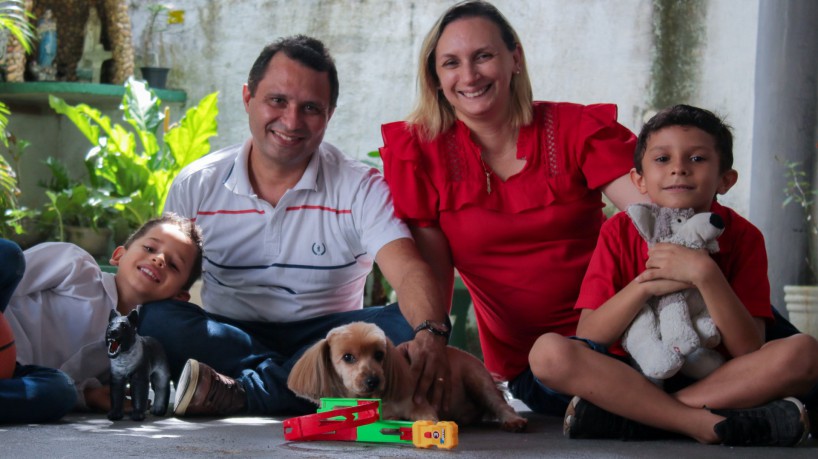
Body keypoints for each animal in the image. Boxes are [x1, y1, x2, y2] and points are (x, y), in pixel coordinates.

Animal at [286, 322, 528, 434]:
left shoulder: (421, 407)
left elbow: (422, 419)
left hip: (478, 379)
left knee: (501, 404)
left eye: (379, 355)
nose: (373, 380)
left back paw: (513, 421)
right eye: (348, 357)